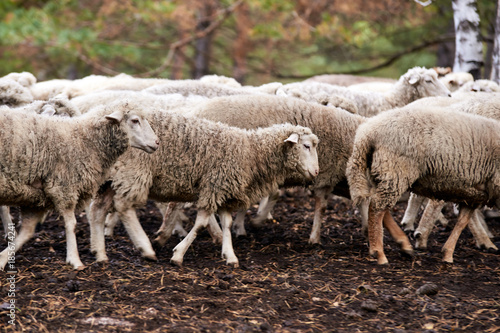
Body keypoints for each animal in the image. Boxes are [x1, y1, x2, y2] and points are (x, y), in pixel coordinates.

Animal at [0, 101, 158, 270]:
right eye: (135, 120)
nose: (157, 142)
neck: (84, 140)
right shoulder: (63, 188)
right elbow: (72, 225)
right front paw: (75, 260)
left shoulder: (36, 196)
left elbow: (27, 232)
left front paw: (3, 258)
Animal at [87, 109, 318, 268]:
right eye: (306, 146)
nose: (316, 172)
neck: (250, 153)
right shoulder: (214, 186)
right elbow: (201, 223)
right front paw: (178, 254)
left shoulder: (224, 190)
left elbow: (227, 223)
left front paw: (230, 255)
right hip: (133, 172)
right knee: (124, 207)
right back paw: (145, 248)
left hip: (109, 179)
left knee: (98, 209)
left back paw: (99, 252)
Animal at [346, 105, 500, 264]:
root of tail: (366, 133)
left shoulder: (475, 194)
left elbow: (462, 221)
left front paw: (448, 253)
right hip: (396, 171)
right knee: (377, 208)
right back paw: (379, 253)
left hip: (381, 174)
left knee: (378, 205)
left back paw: (403, 245)